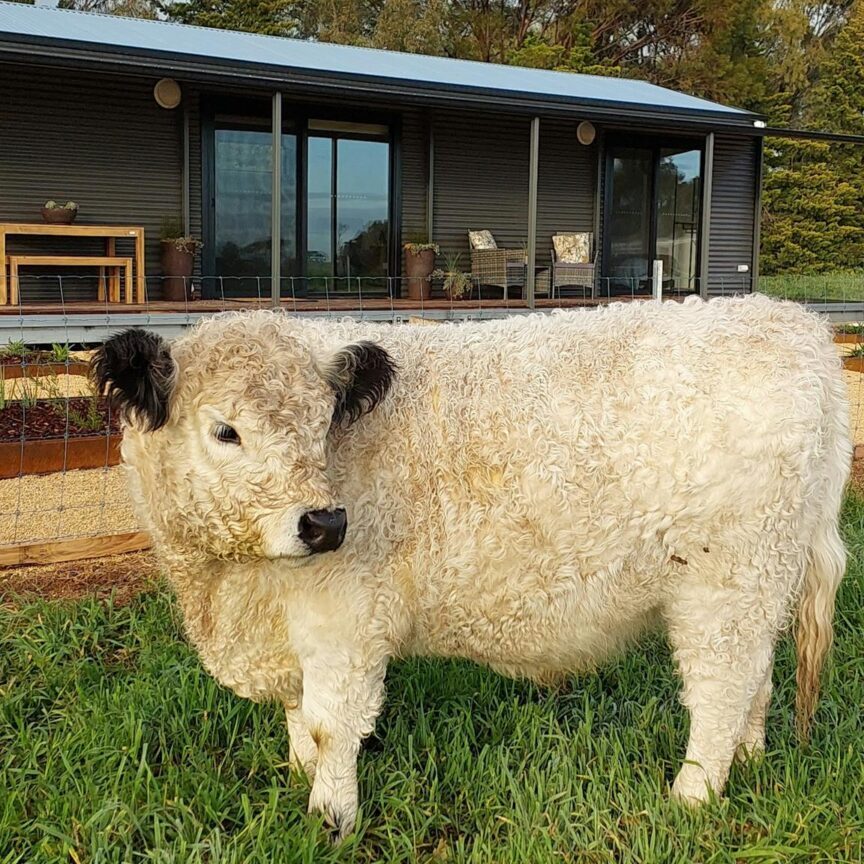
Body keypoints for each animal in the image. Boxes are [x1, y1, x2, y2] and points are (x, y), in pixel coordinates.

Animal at [91, 294, 850, 838]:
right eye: (225, 430)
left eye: (322, 423)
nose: (325, 522)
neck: (230, 590)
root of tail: (795, 324)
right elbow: (297, 719)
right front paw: (299, 771)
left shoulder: (347, 623)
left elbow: (331, 724)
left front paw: (331, 817)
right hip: (760, 586)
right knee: (756, 678)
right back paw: (747, 761)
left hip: (723, 585)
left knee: (720, 689)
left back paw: (691, 797)